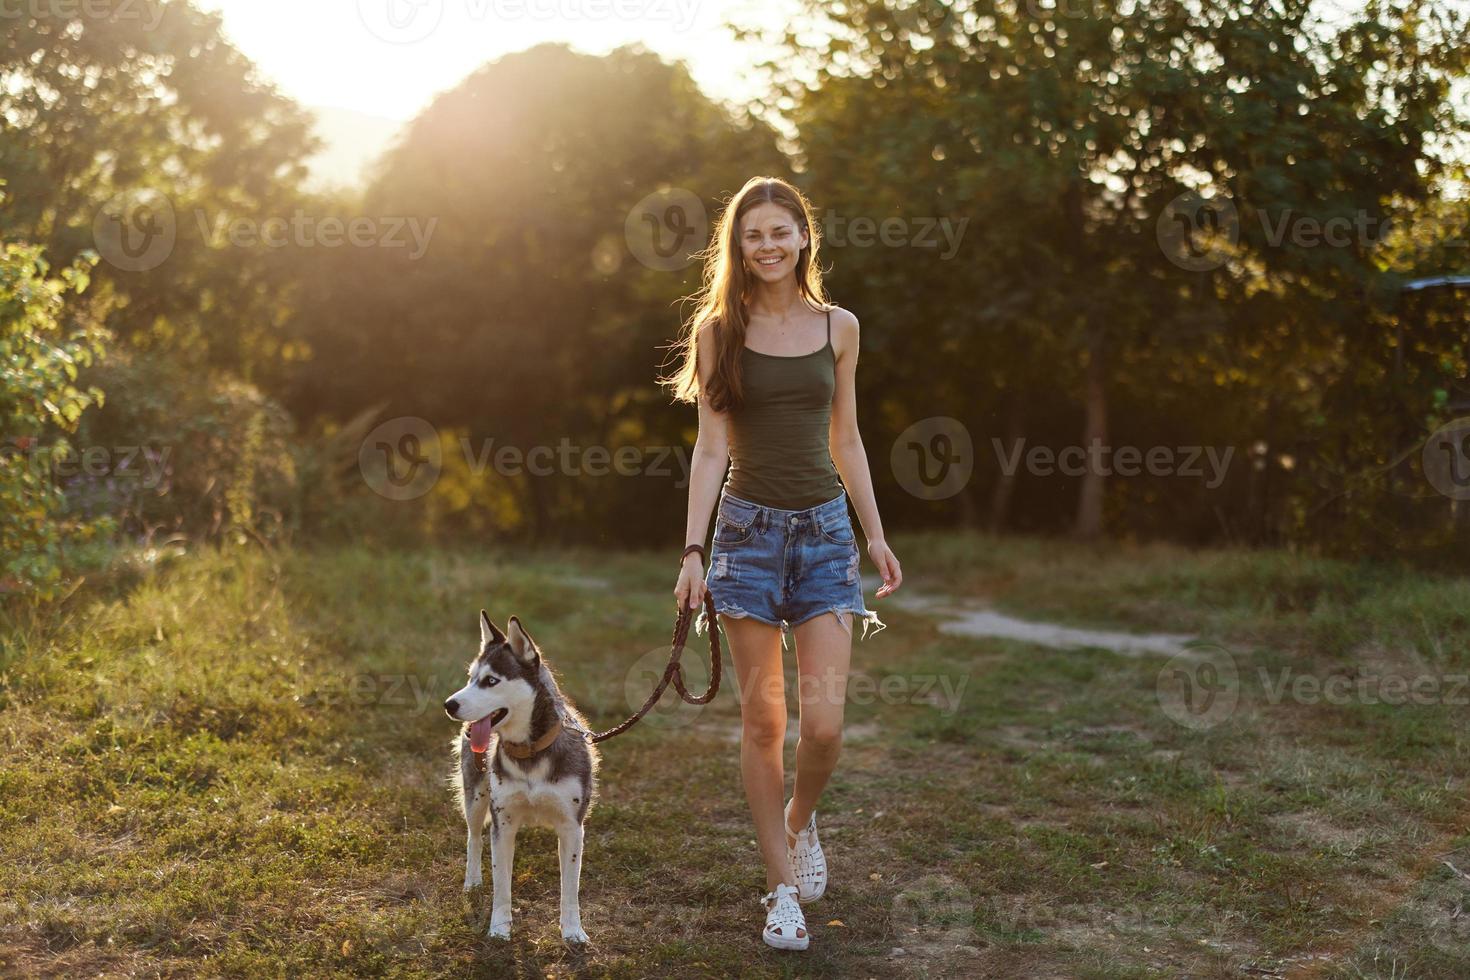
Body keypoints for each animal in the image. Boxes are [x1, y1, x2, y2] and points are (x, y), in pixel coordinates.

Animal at [441, 614, 596, 940]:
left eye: (491, 681)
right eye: (470, 677)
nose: (449, 704)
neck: (530, 751)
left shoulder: (572, 827)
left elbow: (570, 888)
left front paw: (573, 931)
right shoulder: (503, 823)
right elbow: (502, 884)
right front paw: (499, 928)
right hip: (476, 797)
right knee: (474, 837)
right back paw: (472, 882)